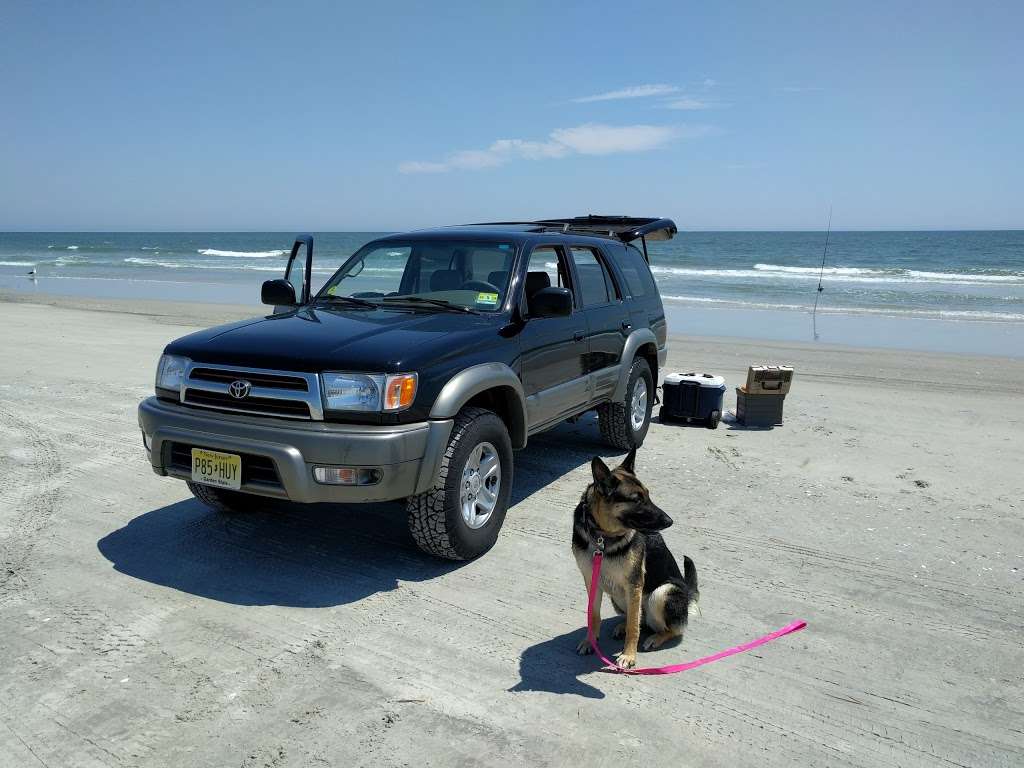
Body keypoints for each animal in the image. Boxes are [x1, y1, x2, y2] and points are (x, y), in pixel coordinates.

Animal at [573, 450, 700, 667]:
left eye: (648, 495)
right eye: (636, 500)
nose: (670, 521)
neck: (602, 536)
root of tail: (688, 594)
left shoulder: (634, 585)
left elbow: (634, 627)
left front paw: (629, 655)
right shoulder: (592, 581)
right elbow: (594, 615)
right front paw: (590, 642)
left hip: (661, 593)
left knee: (666, 628)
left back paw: (655, 638)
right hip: (617, 597)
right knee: (640, 619)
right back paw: (622, 626)